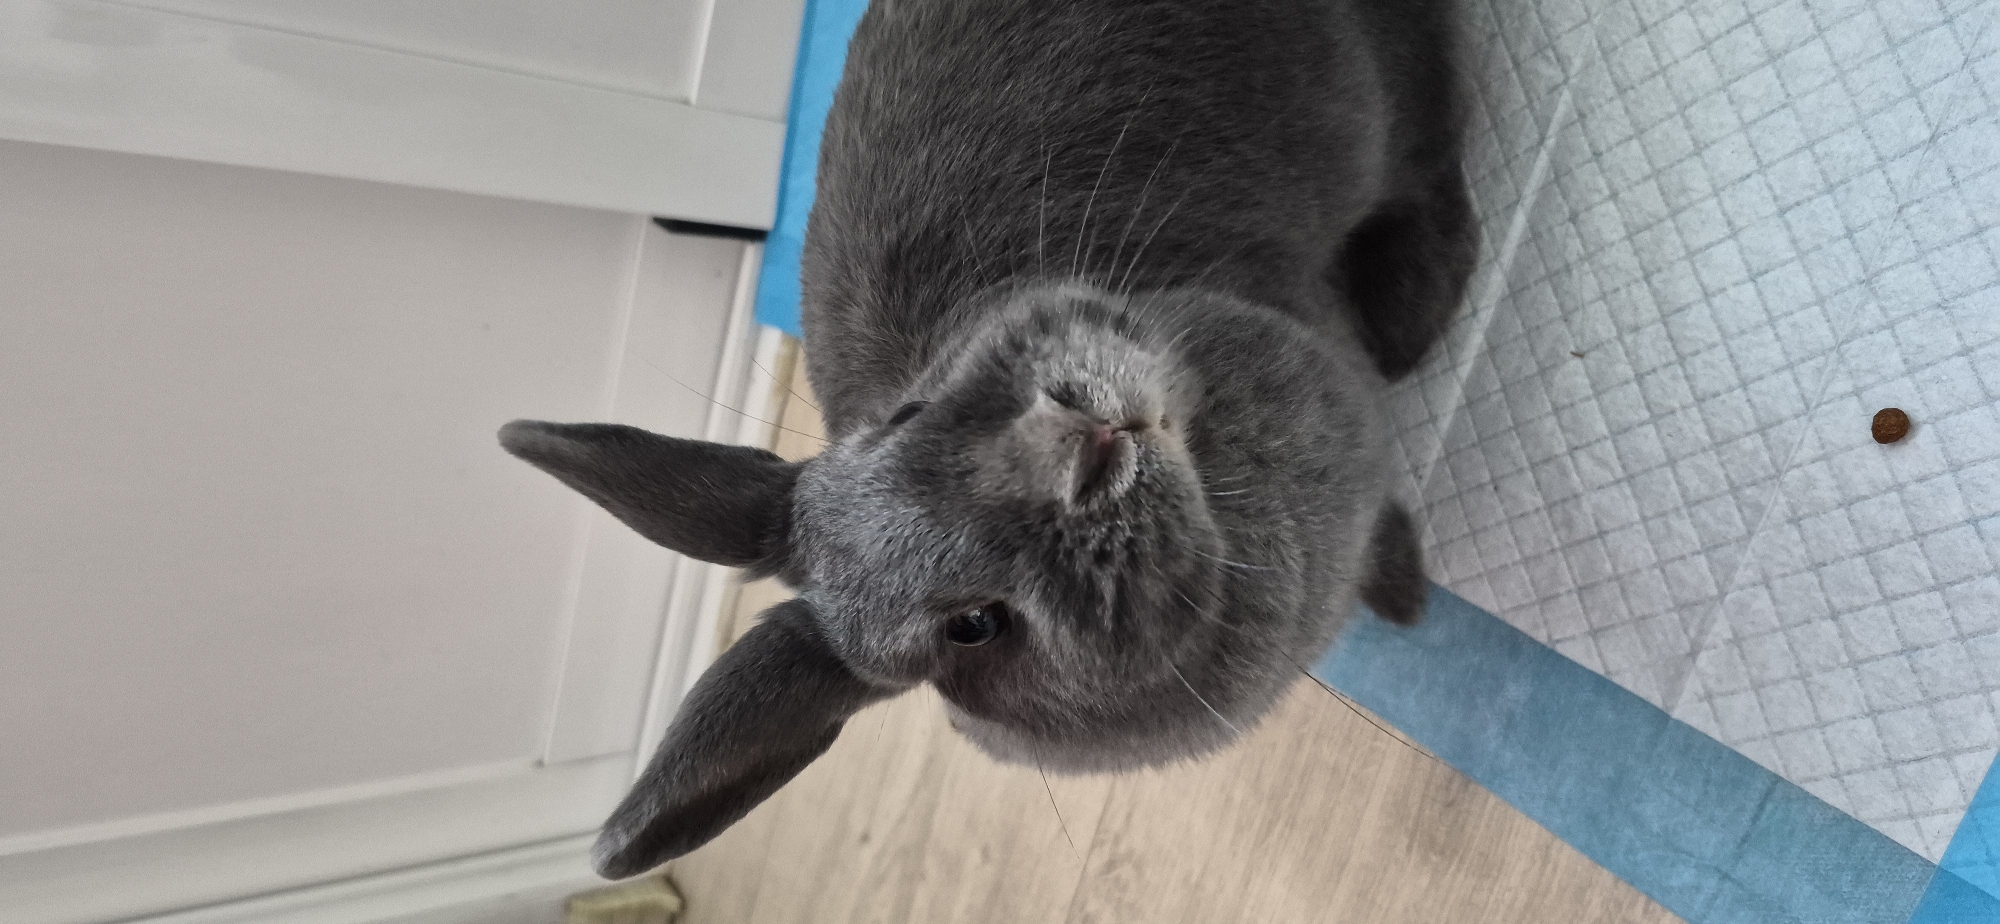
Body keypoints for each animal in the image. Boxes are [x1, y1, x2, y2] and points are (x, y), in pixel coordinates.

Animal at [500, 0, 1476, 879]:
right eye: (973, 627)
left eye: (905, 415)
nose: (1075, 446)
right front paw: (1407, 598)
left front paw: (1404, 596)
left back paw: (1419, 310)